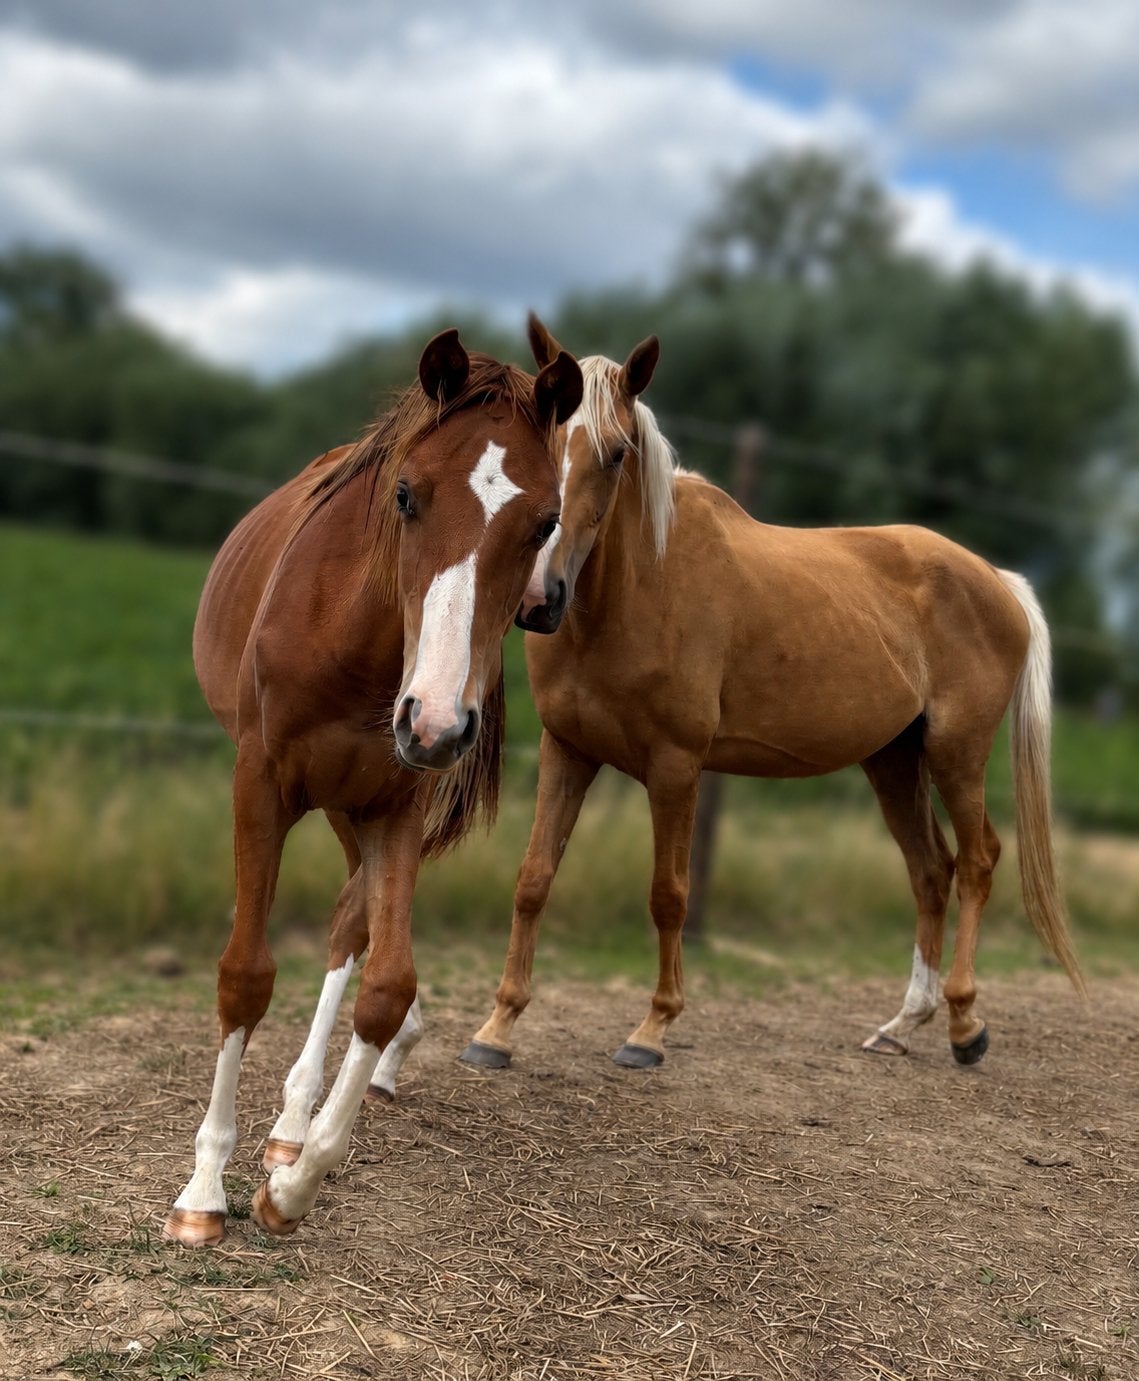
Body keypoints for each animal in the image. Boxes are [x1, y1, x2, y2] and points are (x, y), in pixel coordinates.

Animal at [162, 324, 582, 1247]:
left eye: (545, 520)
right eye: (405, 495)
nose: (436, 721)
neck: (352, 643)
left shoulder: (396, 802)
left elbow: (387, 984)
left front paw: (293, 1186)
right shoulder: (260, 785)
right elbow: (245, 974)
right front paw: (204, 1190)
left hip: (359, 802)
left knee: (351, 924)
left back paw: (294, 1125)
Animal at [453, 319, 1084, 1076]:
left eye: (616, 453)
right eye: (539, 443)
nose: (538, 599)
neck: (633, 589)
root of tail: (996, 579)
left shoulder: (676, 767)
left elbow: (668, 894)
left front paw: (651, 1029)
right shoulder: (567, 750)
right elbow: (533, 878)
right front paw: (495, 1029)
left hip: (955, 752)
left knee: (980, 860)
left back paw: (964, 1025)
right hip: (892, 761)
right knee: (932, 869)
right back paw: (902, 1024)